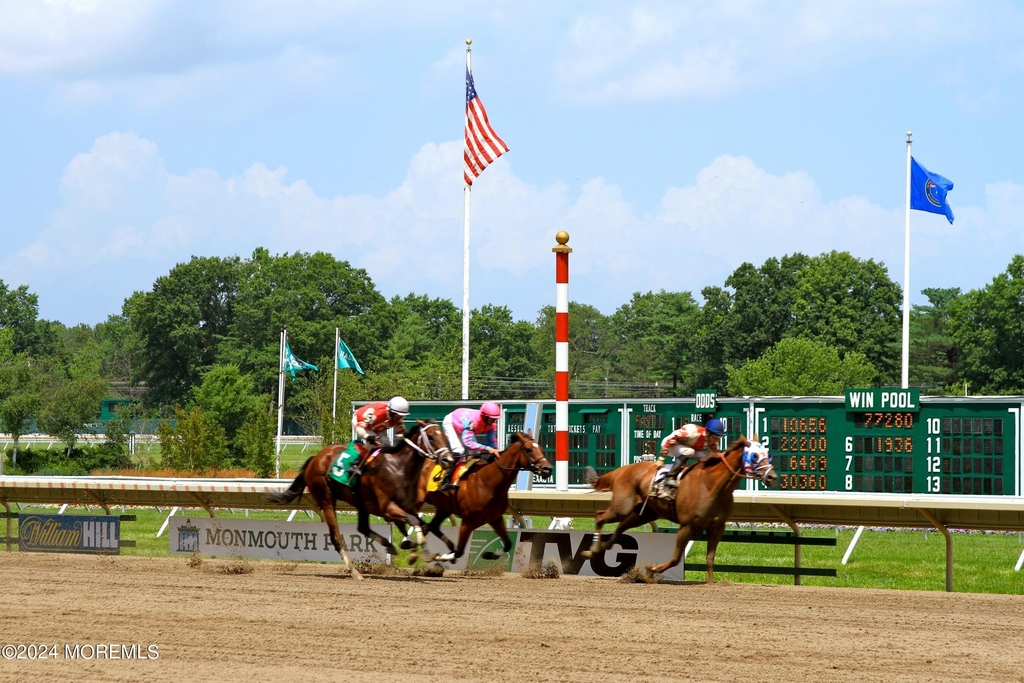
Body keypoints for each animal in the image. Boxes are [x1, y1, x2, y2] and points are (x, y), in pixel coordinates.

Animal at [268, 421, 452, 581]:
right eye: (431, 437)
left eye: (444, 435)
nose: (448, 460)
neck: (399, 467)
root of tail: (315, 458)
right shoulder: (387, 508)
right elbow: (414, 521)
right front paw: (417, 551)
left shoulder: (406, 506)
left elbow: (420, 523)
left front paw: (427, 553)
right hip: (326, 499)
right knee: (336, 538)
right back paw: (355, 572)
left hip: (360, 503)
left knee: (362, 527)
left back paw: (388, 545)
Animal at [421, 436, 557, 565]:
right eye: (529, 450)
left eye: (541, 448)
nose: (547, 469)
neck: (486, 481)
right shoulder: (468, 521)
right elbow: (459, 551)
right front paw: (443, 557)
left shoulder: (495, 518)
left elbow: (508, 544)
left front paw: (488, 554)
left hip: (444, 508)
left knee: (431, 526)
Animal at [581, 438, 770, 581]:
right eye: (754, 456)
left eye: (768, 455)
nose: (772, 476)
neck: (711, 485)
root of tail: (622, 469)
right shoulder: (687, 526)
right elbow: (675, 558)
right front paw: (651, 570)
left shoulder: (717, 527)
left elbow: (710, 558)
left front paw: (711, 584)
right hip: (622, 507)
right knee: (600, 517)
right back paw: (593, 550)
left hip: (643, 514)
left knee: (620, 527)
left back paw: (602, 547)